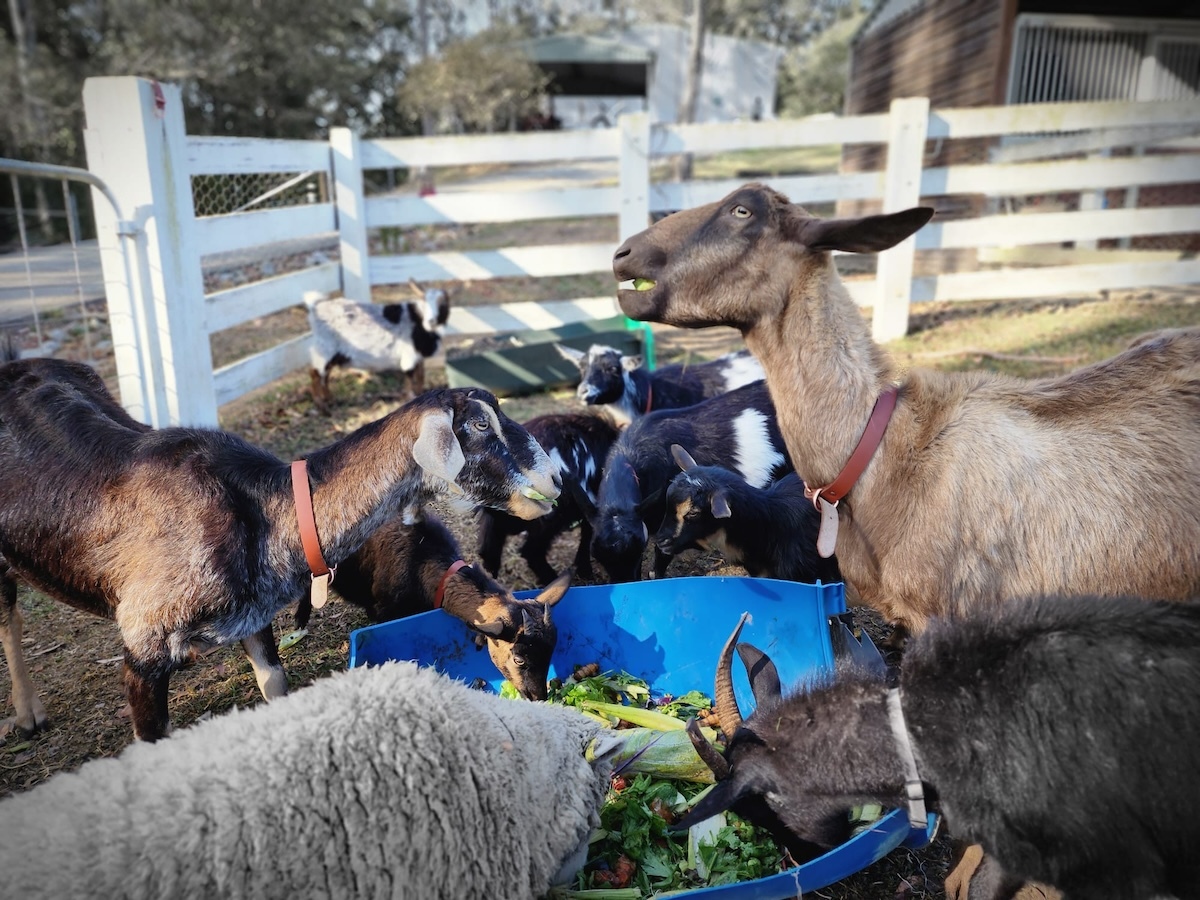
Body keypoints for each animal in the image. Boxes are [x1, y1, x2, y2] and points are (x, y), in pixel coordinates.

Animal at [306, 279, 451, 414]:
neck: (418, 322)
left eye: (443, 303)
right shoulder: (409, 354)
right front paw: (411, 398)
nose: (431, 321)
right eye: (424, 302)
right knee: (315, 374)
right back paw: (323, 408)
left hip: (332, 353)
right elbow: (410, 376)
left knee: (325, 374)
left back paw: (330, 399)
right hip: (324, 348)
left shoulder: (418, 356)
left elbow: (420, 375)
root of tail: (315, 307)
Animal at [477, 411, 619, 584]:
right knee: (531, 551)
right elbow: (587, 536)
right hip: (551, 517)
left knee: (491, 540)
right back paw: (554, 580)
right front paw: (585, 571)